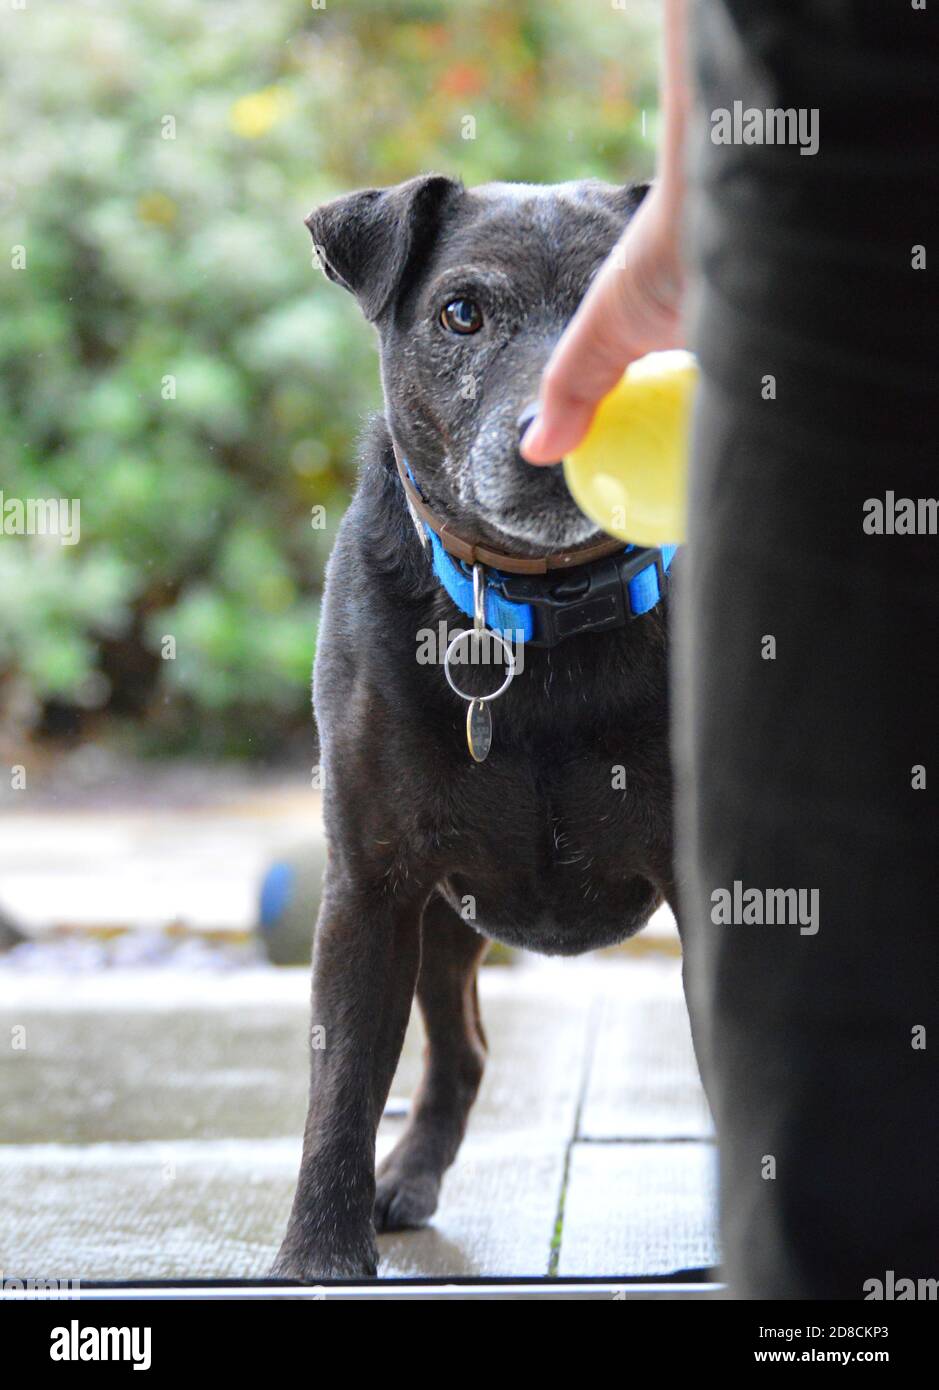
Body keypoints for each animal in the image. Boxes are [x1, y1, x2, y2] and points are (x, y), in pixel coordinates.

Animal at [275, 173, 677, 1278]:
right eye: (462, 313)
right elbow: (340, 1089)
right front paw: (318, 1257)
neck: (535, 611)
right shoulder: (371, 885)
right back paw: (405, 1175)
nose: (555, 432)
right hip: (443, 924)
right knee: (459, 1054)